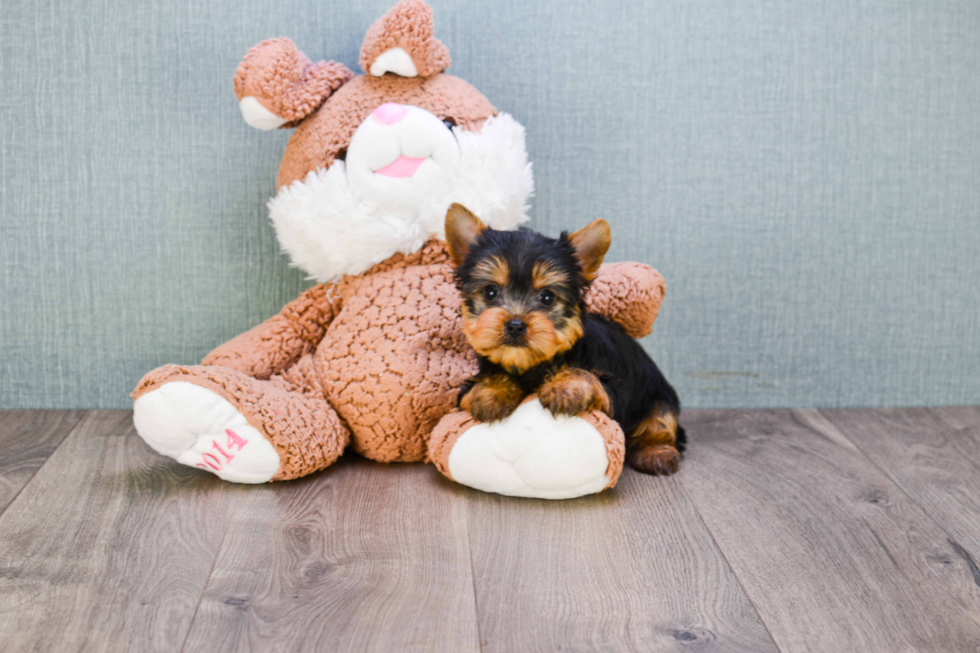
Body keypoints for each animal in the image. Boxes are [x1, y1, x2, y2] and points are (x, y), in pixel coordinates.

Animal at [446, 202, 684, 474]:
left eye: (547, 297)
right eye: (490, 292)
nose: (515, 325)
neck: (531, 365)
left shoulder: (615, 393)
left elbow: (588, 376)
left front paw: (565, 387)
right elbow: (479, 385)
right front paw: (490, 392)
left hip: (659, 397)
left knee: (662, 423)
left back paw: (657, 451)